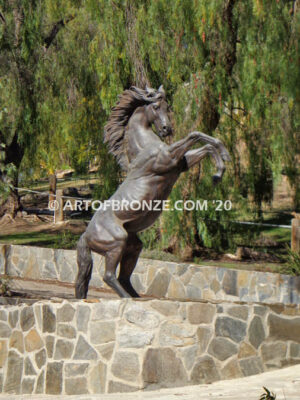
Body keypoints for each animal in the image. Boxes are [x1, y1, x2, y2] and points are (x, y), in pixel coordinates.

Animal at [75, 85, 230, 296]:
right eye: (155, 106)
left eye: (167, 106)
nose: (166, 129)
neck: (143, 147)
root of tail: (86, 235)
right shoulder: (169, 159)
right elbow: (195, 135)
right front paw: (221, 166)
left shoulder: (181, 164)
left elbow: (205, 145)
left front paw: (220, 169)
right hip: (116, 243)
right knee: (109, 276)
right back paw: (127, 298)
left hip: (132, 246)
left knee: (123, 277)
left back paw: (136, 298)